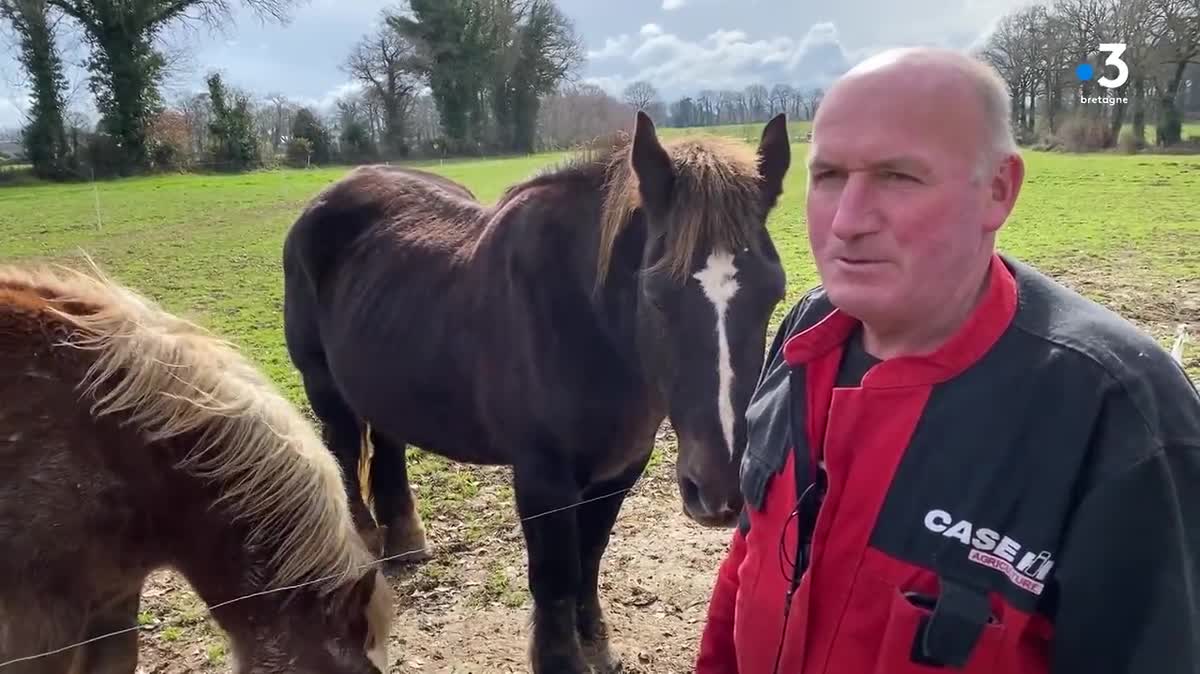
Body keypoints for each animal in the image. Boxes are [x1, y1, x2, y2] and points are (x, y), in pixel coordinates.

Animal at [278, 111, 787, 671]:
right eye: (655, 294)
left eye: (774, 292)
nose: (720, 490)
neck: (588, 323)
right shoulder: (543, 476)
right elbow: (555, 573)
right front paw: (561, 658)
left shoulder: (621, 468)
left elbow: (590, 555)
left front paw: (596, 642)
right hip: (323, 385)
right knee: (344, 451)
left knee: (386, 442)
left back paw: (407, 540)